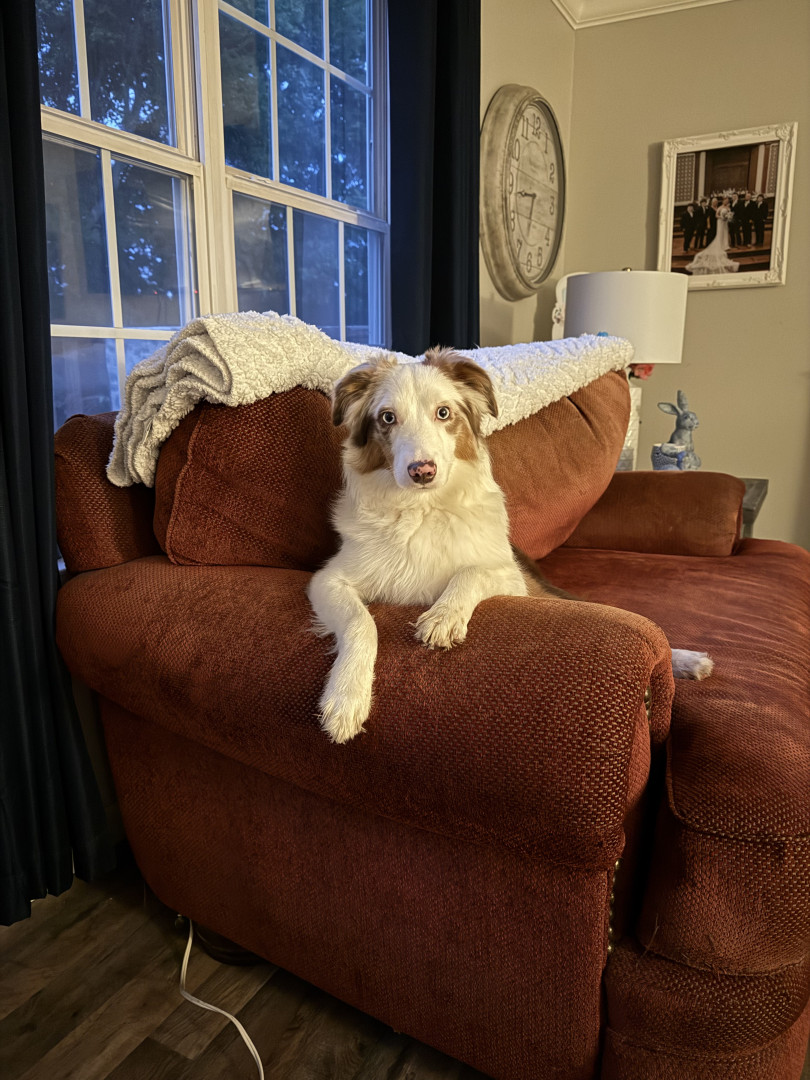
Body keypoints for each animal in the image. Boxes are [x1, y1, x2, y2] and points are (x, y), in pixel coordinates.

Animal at [308, 348, 713, 743]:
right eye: (388, 418)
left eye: (444, 413)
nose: (422, 471)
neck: (423, 508)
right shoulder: (328, 580)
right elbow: (361, 622)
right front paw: (346, 698)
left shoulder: (510, 579)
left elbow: (472, 571)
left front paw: (444, 616)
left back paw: (686, 661)